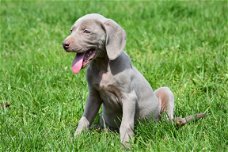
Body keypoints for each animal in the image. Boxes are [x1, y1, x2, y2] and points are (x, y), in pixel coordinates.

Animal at [62, 13, 187, 147]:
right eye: (71, 30)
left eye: (86, 31)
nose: (64, 44)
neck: (103, 66)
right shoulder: (93, 96)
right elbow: (84, 119)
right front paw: (75, 139)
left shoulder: (129, 97)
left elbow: (125, 124)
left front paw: (126, 145)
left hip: (165, 93)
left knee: (166, 120)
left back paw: (177, 122)